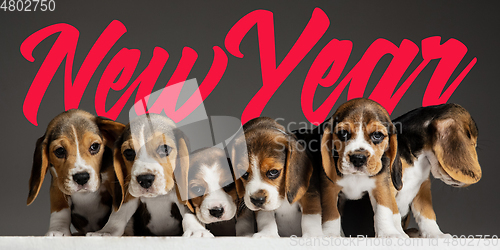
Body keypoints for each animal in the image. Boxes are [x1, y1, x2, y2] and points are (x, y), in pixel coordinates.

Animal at [318, 98, 408, 237]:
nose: (358, 158)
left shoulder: (380, 186)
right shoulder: (329, 189)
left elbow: (383, 209)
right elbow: (332, 214)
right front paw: (330, 235)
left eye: (377, 135)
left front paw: (388, 233)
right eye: (343, 133)